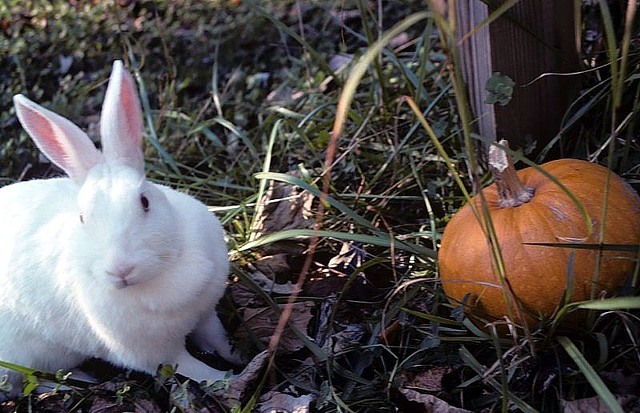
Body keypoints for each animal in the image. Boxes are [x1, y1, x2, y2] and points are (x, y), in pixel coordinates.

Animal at [0, 60, 239, 400]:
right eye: (83, 218)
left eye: (144, 201)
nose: (121, 270)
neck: (162, 274)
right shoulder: (156, 353)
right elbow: (196, 370)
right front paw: (231, 378)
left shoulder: (206, 313)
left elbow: (217, 337)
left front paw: (241, 355)